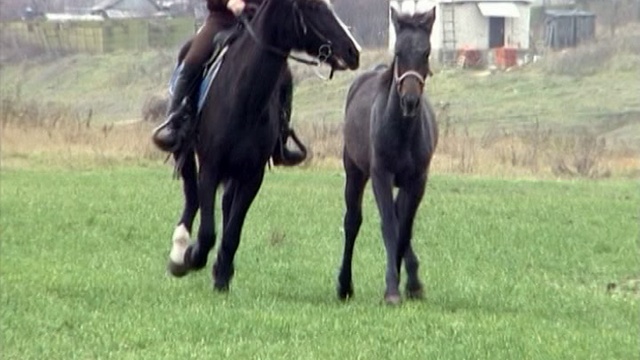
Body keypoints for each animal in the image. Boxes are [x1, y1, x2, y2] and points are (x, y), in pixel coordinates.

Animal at [165, 0, 360, 292]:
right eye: (313, 6)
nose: (353, 51)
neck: (243, 98)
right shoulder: (210, 168)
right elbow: (208, 229)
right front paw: (192, 256)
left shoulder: (252, 176)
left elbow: (232, 232)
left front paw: (221, 276)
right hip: (186, 151)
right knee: (191, 195)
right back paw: (179, 253)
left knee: (224, 204)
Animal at [338, 7, 438, 304]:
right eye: (398, 52)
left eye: (426, 52)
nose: (410, 101)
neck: (402, 131)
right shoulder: (380, 175)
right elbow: (389, 227)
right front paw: (392, 289)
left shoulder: (417, 180)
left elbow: (404, 228)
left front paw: (412, 285)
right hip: (355, 172)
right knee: (352, 222)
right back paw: (344, 286)